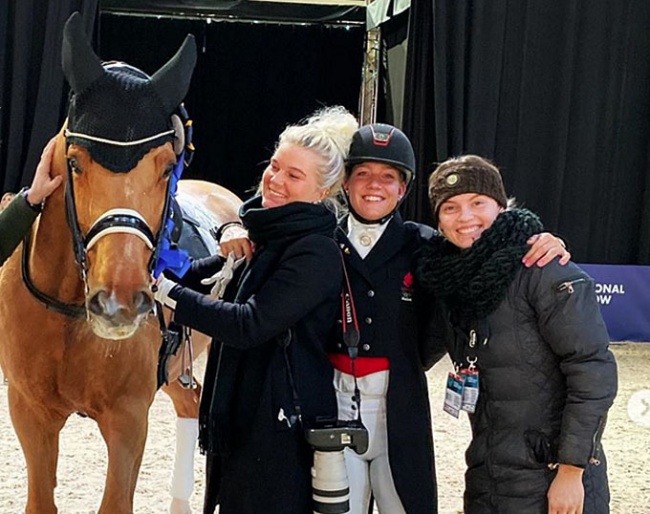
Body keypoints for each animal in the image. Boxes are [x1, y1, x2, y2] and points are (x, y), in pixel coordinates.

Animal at [0, 12, 240, 512]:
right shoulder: (29, 413)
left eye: (167, 166)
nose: (120, 303)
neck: (69, 313)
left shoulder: (129, 421)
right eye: (73, 162)